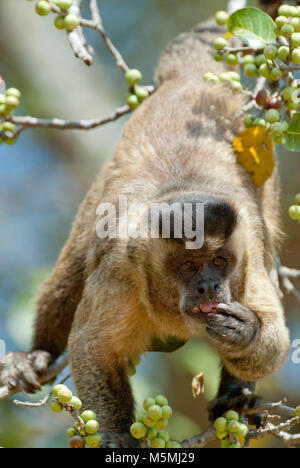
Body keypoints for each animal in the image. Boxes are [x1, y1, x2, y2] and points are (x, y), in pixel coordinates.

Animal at [0, 0, 290, 448]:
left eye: (219, 263)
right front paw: (119, 435)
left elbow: (275, 342)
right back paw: (35, 355)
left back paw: (236, 397)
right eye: (188, 267)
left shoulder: (249, 253)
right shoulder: (122, 264)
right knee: (71, 271)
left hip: (260, 155)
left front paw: (245, 333)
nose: (209, 286)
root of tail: (190, 81)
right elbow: (92, 348)